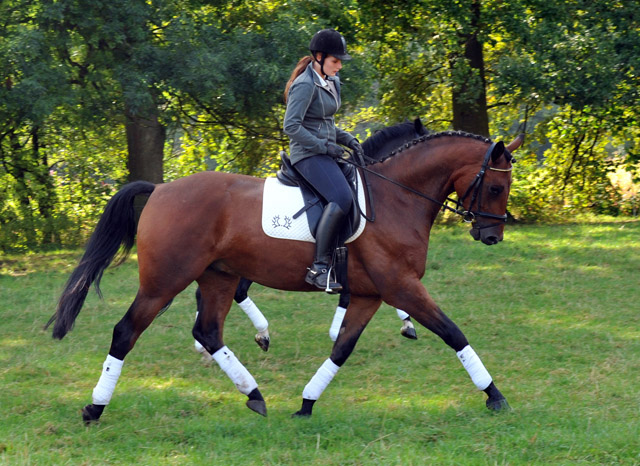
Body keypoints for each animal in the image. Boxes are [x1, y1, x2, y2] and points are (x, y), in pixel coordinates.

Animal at [47, 129, 524, 420]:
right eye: (496, 187)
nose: (491, 236)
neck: (395, 199)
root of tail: (161, 189)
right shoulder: (401, 286)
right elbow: (452, 332)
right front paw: (495, 395)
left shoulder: (370, 294)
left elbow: (341, 350)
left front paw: (307, 403)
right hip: (164, 281)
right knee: (126, 332)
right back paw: (94, 408)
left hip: (217, 277)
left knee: (208, 331)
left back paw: (255, 395)